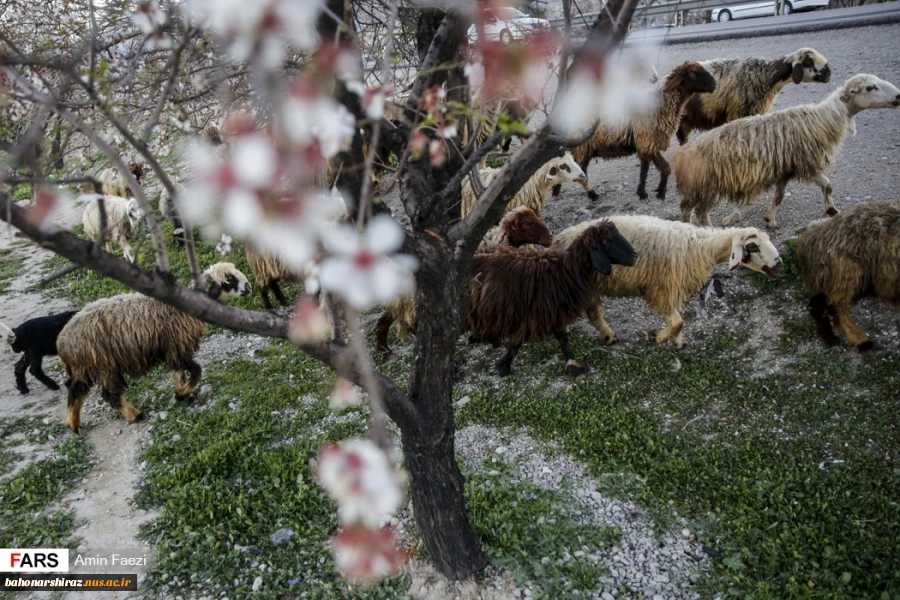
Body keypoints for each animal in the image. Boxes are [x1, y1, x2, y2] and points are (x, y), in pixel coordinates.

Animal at [548, 214, 780, 346]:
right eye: (753, 247)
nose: (779, 264)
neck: (701, 247)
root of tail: (557, 240)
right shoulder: (662, 289)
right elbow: (677, 322)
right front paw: (657, 337)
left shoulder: (672, 289)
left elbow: (678, 322)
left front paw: (678, 342)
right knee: (590, 312)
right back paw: (602, 335)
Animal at [680, 73, 900, 227]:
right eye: (871, 87)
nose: (898, 96)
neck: (824, 119)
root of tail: (683, 154)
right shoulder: (806, 164)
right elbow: (825, 185)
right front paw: (830, 209)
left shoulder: (786, 169)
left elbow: (784, 195)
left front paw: (770, 219)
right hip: (709, 185)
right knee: (700, 212)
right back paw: (708, 230)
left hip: (700, 186)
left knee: (686, 208)